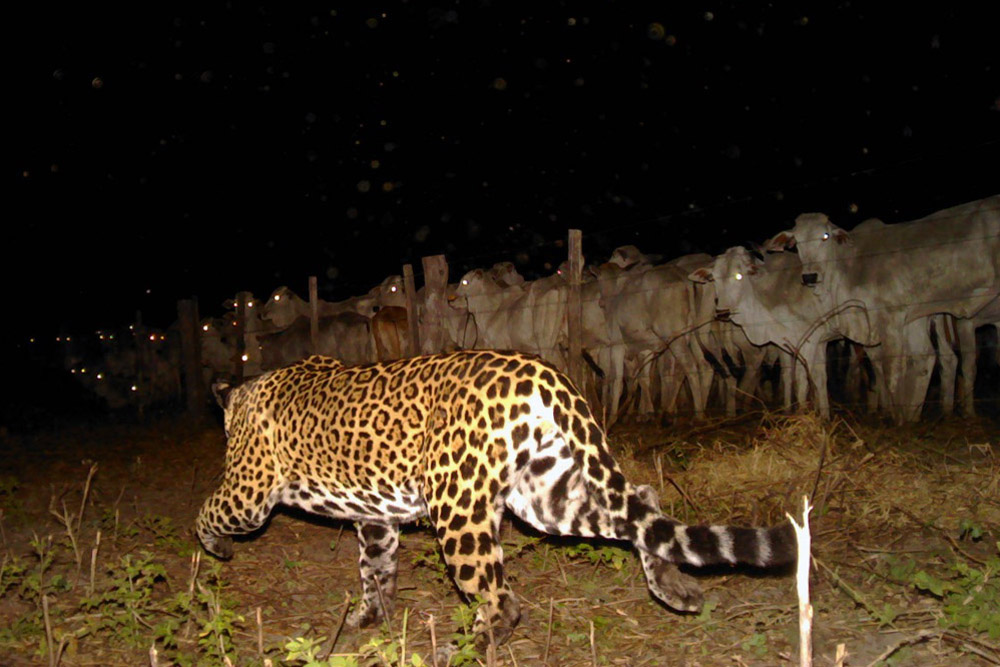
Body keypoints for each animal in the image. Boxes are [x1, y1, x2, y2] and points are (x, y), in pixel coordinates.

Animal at [196, 350, 795, 655]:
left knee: (502, 600)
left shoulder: (249, 492)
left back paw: (464, 651)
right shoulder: (376, 520)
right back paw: (674, 587)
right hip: (547, 495)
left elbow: (206, 511)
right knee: (642, 505)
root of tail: (542, 371)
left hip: (457, 506)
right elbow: (375, 569)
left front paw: (215, 551)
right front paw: (371, 616)